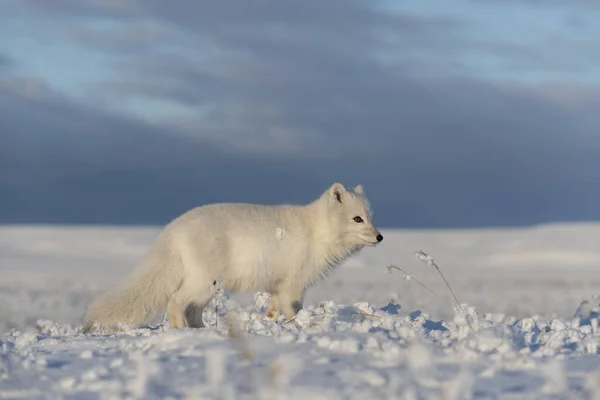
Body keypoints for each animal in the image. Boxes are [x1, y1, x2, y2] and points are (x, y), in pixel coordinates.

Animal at [81, 183, 384, 332]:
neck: (317, 231)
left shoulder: (279, 286)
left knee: (192, 310)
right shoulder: (294, 284)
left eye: (371, 217)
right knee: (176, 301)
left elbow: (273, 309)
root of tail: (173, 228)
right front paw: (298, 326)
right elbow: (294, 310)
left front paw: (272, 322)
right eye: (357, 219)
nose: (380, 237)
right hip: (204, 283)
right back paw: (181, 330)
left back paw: (200, 330)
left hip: (209, 288)